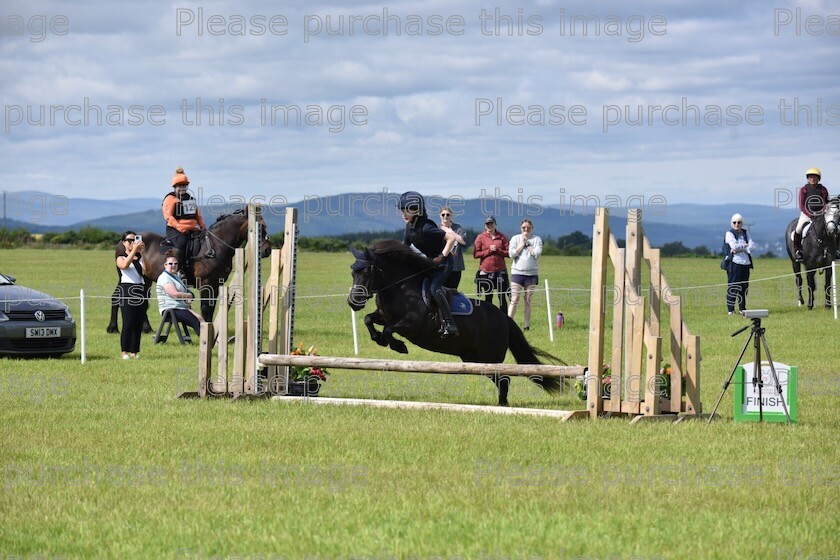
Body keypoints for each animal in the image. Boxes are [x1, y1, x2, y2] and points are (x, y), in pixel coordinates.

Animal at [344, 238, 568, 404]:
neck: (400, 287)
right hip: (473, 359)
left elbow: (389, 330)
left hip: (489, 357)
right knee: (501, 380)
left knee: (504, 379)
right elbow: (369, 320)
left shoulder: (412, 324)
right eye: (353, 271)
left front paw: (398, 346)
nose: (353, 301)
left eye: (367, 271)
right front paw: (379, 340)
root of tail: (504, 318)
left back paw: (503, 406)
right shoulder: (384, 316)